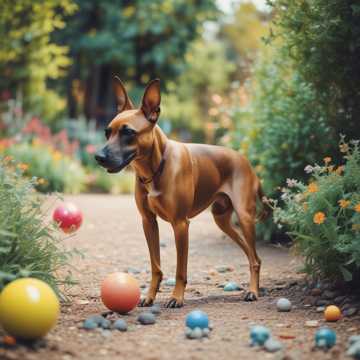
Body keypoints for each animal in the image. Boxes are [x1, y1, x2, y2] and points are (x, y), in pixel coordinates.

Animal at [95, 77, 268, 308]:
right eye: (107, 132)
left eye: (128, 132)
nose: (98, 157)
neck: (156, 168)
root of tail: (246, 161)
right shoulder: (148, 222)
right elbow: (156, 266)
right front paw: (150, 296)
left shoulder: (180, 224)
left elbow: (180, 270)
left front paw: (176, 297)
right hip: (222, 221)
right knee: (251, 255)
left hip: (245, 217)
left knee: (255, 258)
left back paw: (253, 291)